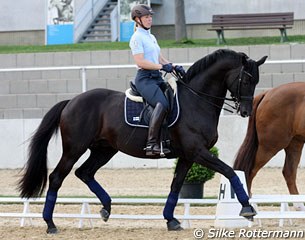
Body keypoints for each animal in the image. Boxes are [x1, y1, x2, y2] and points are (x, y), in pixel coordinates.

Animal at [18, 49, 266, 233]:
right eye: (247, 80)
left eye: (256, 81)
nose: (246, 111)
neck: (196, 100)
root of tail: (71, 101)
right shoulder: (198, 152)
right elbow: (230, 172)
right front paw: (247, 208)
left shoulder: (188, 156)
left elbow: (176, 185)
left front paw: (171, 220)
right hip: (74, 149)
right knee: (57, 177)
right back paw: (50, 224)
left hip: (104, 150)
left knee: (85, 172)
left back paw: (106, 208)